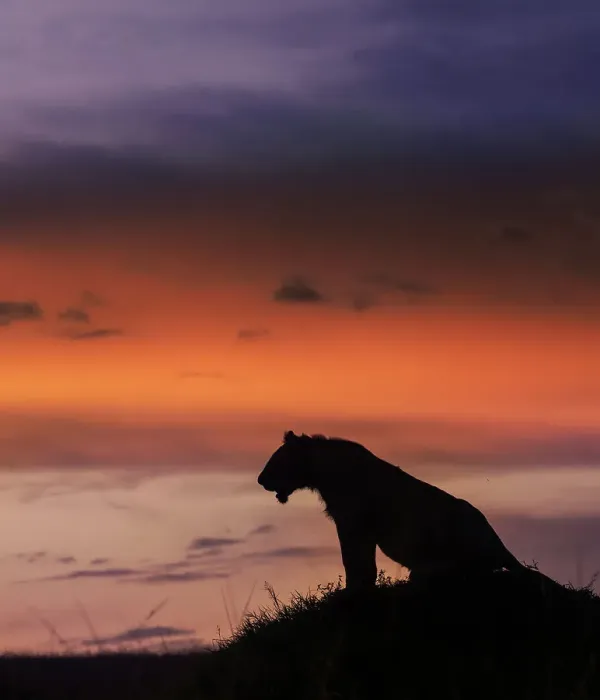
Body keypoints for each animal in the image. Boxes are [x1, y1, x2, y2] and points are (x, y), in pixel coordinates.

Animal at [257, 431, 561, 592]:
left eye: (277, 459)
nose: (260, 480)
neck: (322, 474)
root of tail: (498, 543)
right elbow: (359, 562)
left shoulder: (353, 524)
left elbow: (355, 561)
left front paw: (353, 590)